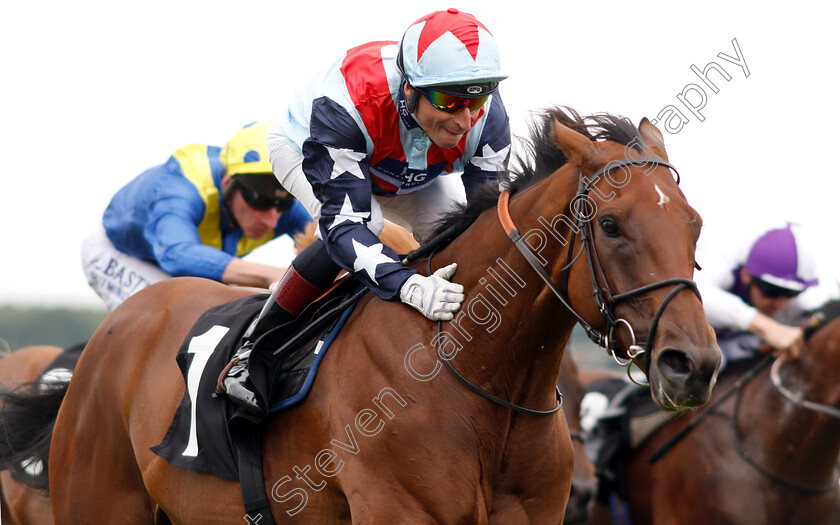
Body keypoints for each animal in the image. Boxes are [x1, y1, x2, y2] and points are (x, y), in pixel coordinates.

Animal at [44, 107, 716, 524]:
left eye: (695, 224)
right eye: (611, 225)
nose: (694, 364)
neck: (479, 378)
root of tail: (119, 324)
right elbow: (345, 227)